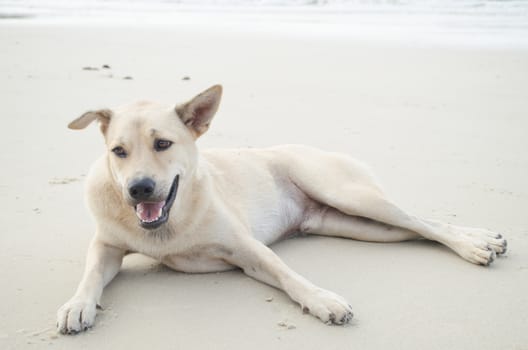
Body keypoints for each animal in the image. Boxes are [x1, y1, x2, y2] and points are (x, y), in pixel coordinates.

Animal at [56, 84, 508, 334]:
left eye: (162, 144)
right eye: (118, 151)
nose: (139, 188)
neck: (168, 225)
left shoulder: (248, 250)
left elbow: (289, 275)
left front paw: (324, 301)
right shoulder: (107, 246)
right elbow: (91, 273)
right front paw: (77, 305)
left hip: (350, 195)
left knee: (423, 221)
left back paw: (474, 245)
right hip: (357, 224)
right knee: (417, 229)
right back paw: (484, 239)